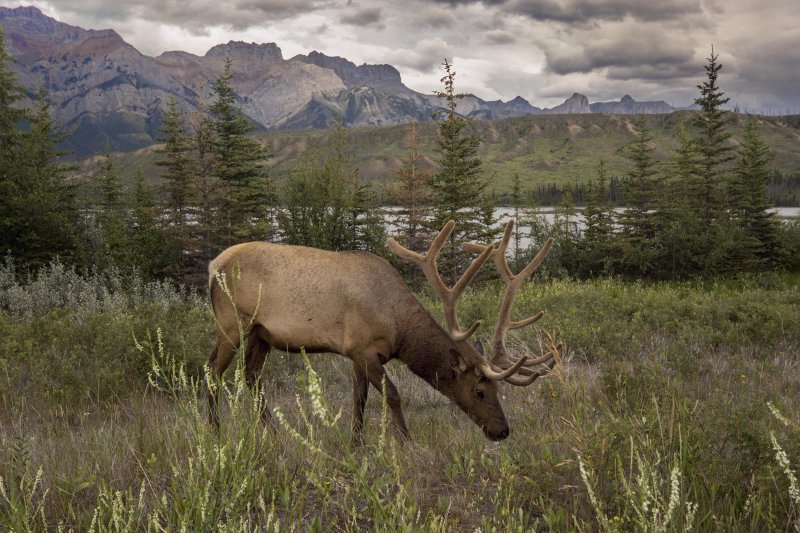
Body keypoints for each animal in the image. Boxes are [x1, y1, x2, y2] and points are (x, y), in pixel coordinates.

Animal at [206, 218, 556, 438]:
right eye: (479, 391)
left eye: (499, 390)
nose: (502, 431)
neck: (398, 329)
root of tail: (212, 266)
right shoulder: (364, 349)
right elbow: (393, 396)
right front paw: (405, 442)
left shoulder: (356, 354)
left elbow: (358, 399)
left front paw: (356, 443)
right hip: (232, 322)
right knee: (213, 370)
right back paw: (215, 432)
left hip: (261, 333)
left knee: (252, 376)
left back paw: (272, 432)